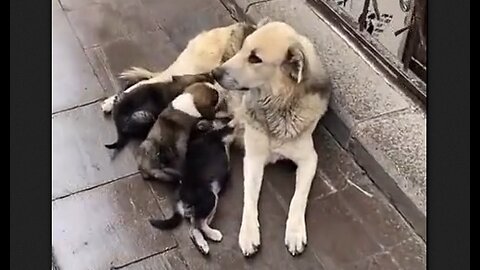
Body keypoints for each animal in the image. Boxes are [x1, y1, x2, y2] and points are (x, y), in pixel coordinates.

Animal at [148, 116, 234, 255]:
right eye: (219, 119)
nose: (227, 117)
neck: (200, 134)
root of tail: (180, 198)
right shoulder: (221, 133)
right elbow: (232, 125)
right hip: (209, 199)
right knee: (199, 225)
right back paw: (213, 234)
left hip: (207, 206)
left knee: (194, 227)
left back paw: (202, 244)